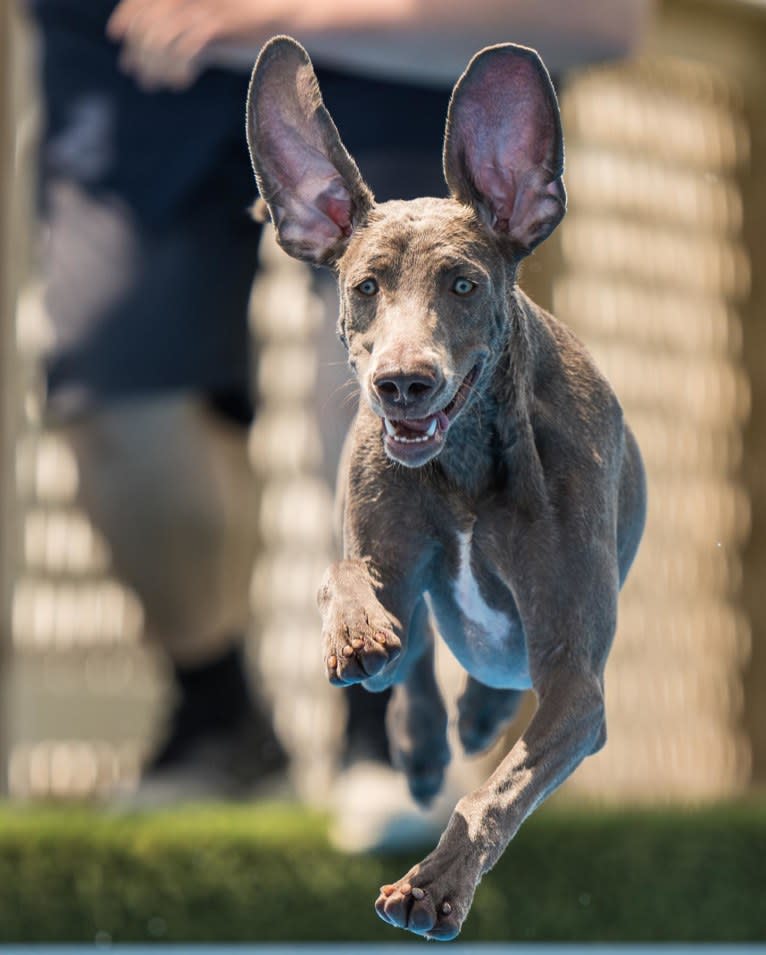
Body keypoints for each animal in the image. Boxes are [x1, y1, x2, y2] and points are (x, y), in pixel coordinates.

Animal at [249, 35, 644, 940]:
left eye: (463, 283)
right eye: (365, 286)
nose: (403, 384)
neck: (462, 471)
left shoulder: (576, 684)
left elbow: (498, 792)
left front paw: (436, 883)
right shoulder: (381, 537)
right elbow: (343, 576)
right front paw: (357, 631)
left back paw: (475, 719)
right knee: (421, 655)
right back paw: (425, 734)